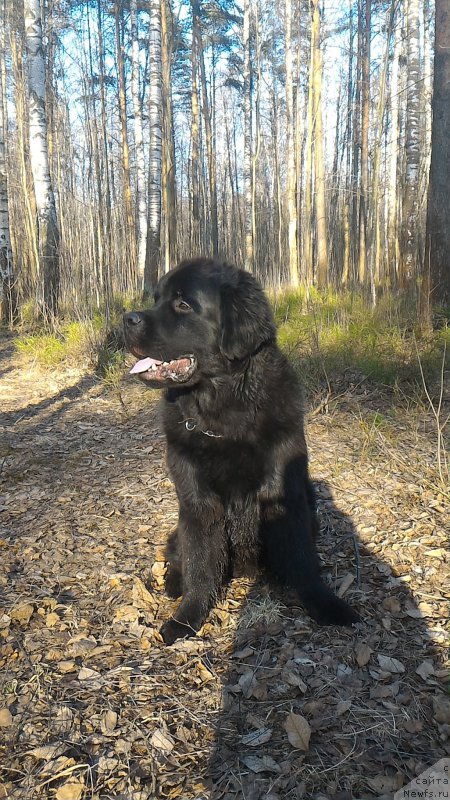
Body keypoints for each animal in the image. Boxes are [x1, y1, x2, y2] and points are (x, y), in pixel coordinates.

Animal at [122, 260, 358, 648]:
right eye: (156, 299)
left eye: (183, 304)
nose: (126, 318)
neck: (226, 417)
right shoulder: (197, 503)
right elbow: (199, 563)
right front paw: (186, 618)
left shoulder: (284, 495)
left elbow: (303, 560)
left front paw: (324, 604)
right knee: (177, 553)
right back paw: (173, 583)